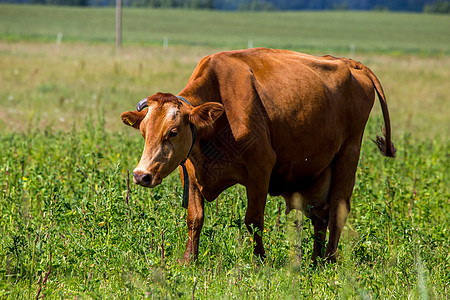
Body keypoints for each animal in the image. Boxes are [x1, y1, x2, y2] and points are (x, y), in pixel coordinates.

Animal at [121, 47, 396, 262]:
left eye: (173, 131)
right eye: (144, 131)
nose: (141, 175)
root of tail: (349, 63)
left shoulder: (260, 169)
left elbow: (253, 221)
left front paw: (260, 261)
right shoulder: (189, 172)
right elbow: (194, 219)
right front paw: (189, 260)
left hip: (348, 154)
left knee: (337, 210)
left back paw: (329, 260)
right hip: (318, 173)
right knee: (320, 215)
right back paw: (315, 260)